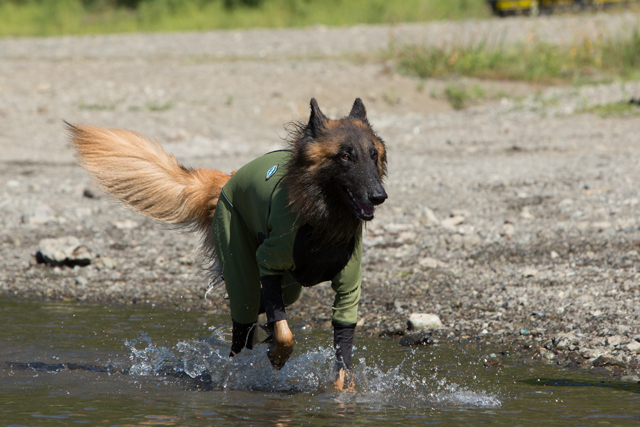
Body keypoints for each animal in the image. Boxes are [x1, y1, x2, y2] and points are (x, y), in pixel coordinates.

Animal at [67, 98, 388, 390]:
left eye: (373, 155)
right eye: (345, 156)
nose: (378, 196)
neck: (323, 222)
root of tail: (226, 178)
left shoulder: (348, 288)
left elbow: (342, 355)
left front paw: (343, 392)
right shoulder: (269, 260)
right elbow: (285, 334)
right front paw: (278, 355)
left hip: (289, 286)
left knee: (263, 310)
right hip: (242, 272)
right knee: (243, 325)